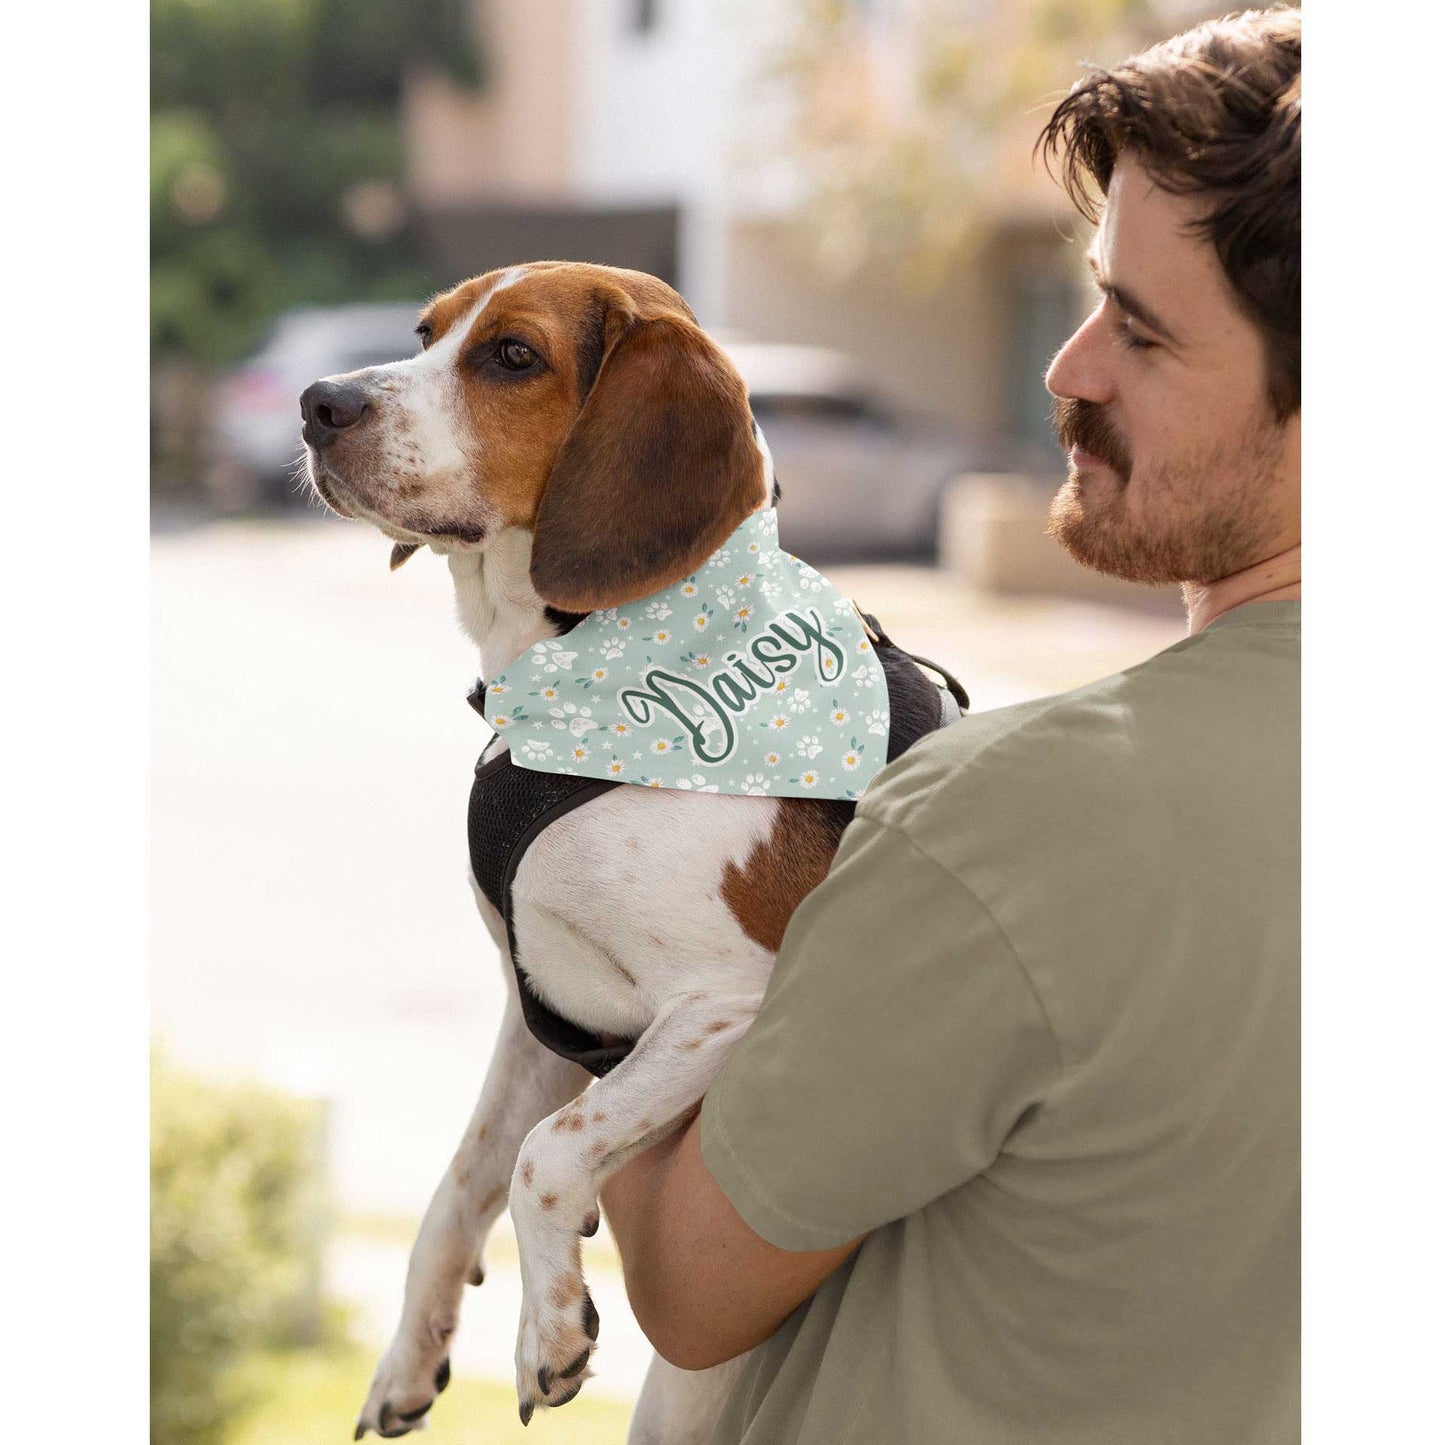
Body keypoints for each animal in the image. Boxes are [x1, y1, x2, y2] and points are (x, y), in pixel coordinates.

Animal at [300, 265, 953, 1439]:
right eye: (424, 331)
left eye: (512, 356)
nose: (318, 403)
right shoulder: (542, 1009)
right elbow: (462, 1177)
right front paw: (412, 1352)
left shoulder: (728, 1005)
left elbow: (544, 1151)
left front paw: (548, 1329)